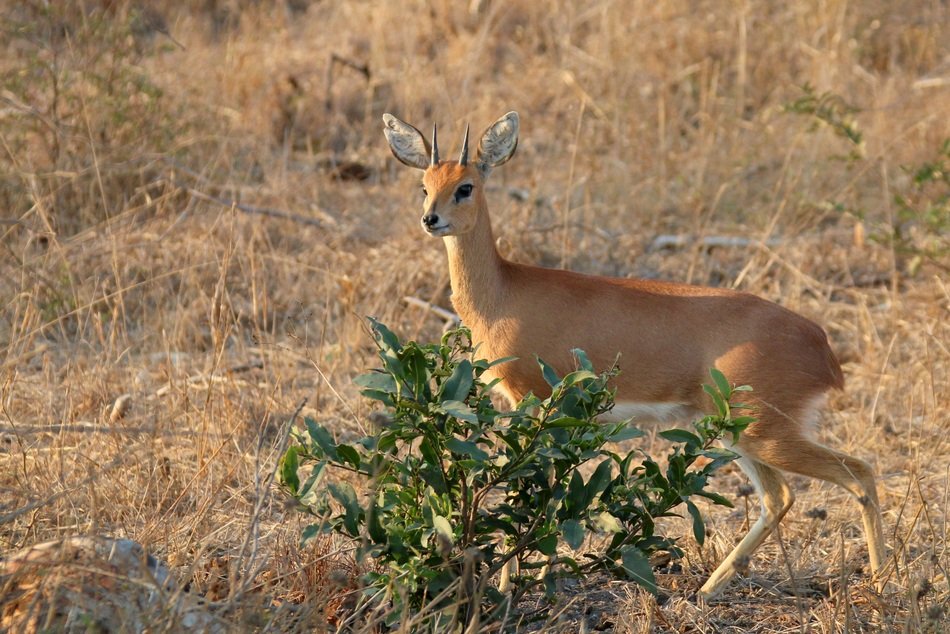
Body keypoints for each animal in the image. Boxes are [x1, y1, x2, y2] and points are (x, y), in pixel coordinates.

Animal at [381, 111, 886, 600]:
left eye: (465, 186)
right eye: (425, 185)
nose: (431, 219)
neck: (504, 294)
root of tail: (822, 346)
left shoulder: (533, 401)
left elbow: (525, 487)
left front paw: (511, 586)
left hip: (764, 434)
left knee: (858, 473)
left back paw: (884, 586)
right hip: (739, 434)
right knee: (781, 497)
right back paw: (706, 591)